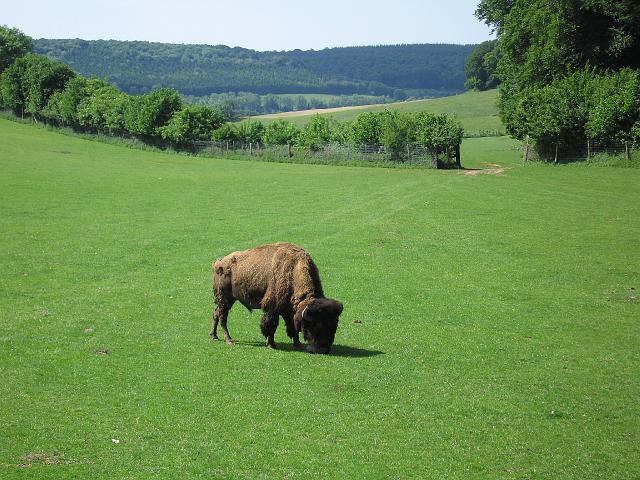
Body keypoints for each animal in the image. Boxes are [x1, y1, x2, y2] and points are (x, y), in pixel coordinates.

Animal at [211, 244, 342, 352]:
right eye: (316, 325)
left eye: (334, 325)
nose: (324, 349)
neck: (294, 270)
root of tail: (218, 263)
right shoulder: (273, 309)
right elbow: (271, 326)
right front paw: (271, 345)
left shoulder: (288, 310)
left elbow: (291, 326)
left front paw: (298, 344)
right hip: (225, 298)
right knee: (223, 317)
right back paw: (229, 340)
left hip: (228, 300)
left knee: (216, 313)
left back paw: (214, 336)